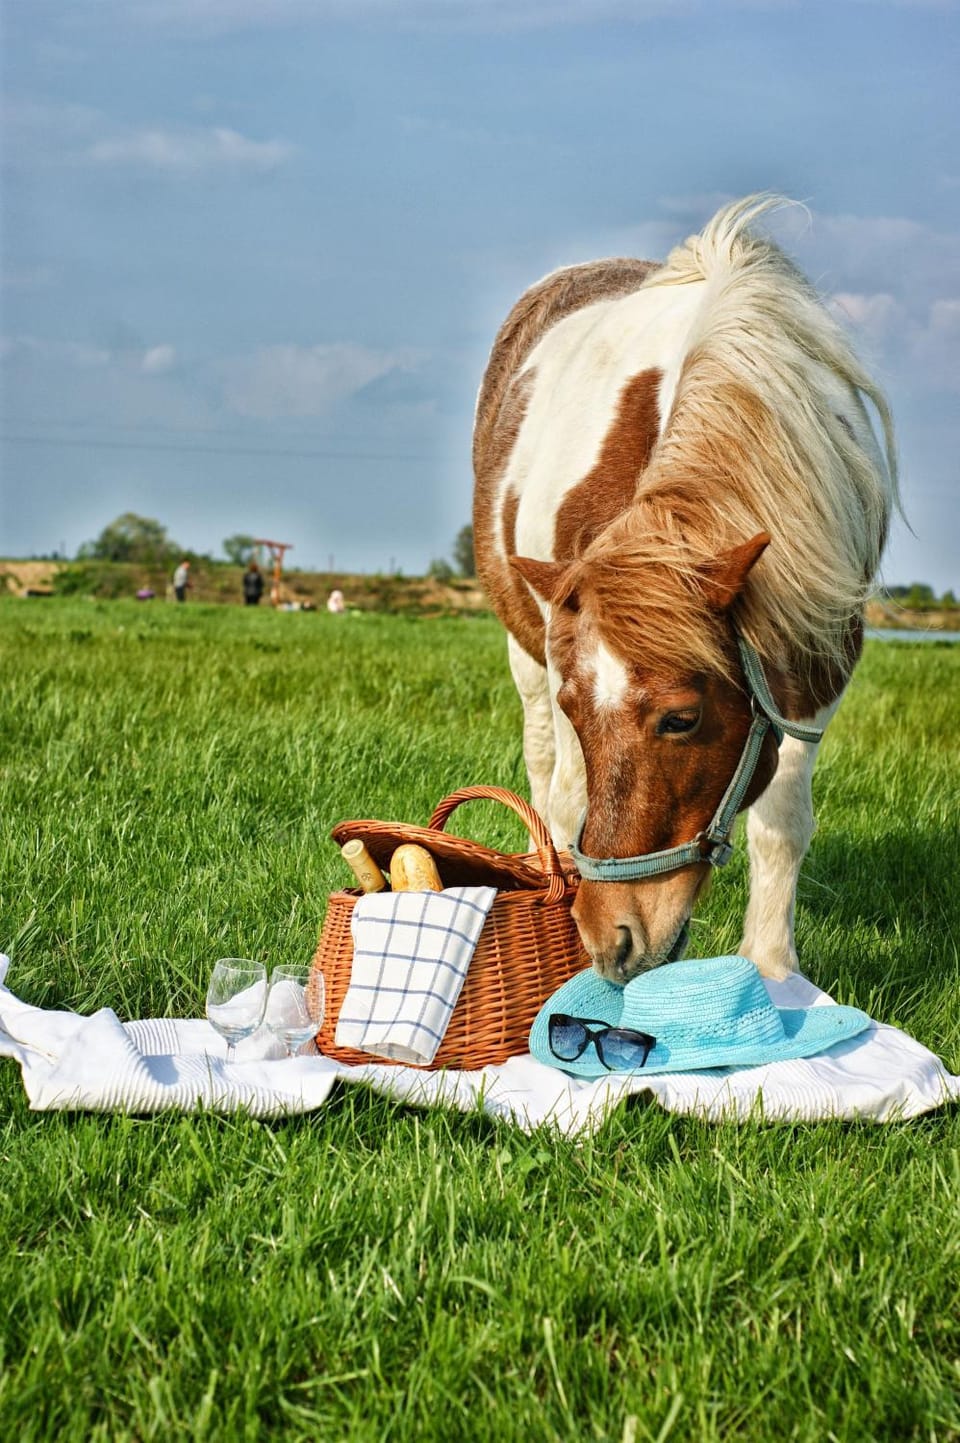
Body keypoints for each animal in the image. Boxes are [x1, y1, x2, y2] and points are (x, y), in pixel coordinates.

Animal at [473, 195, 898, 984]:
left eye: (681, 719)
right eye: (580, 709)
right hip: (525, 650)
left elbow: (781, 821)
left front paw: (772, 970)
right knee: (547, 777)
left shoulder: (814, 661)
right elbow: (572, 793)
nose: (614, 938)